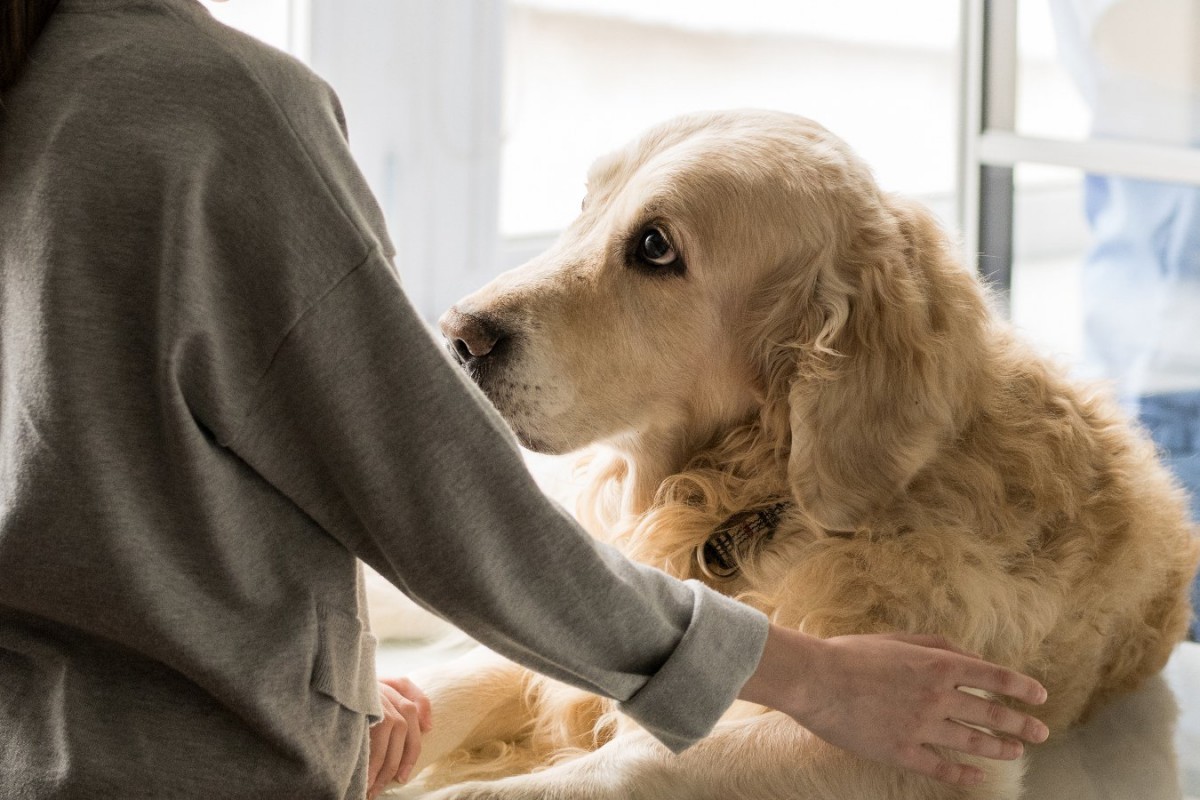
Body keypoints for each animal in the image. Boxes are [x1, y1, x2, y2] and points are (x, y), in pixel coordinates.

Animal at [408, 107, 1195, 800]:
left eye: (656, 247)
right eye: (584, 203)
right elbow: (460, 679)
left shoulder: (929, 737)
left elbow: (637, 761)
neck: (751, 499)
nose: (456, 335)